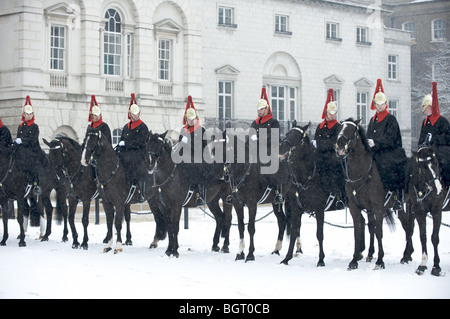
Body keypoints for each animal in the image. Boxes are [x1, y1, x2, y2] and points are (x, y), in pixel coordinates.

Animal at [81, 126, 165, 254]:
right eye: (85, 140)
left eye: (93, 141)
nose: (83, 160)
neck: (111, 171)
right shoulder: (106, 203)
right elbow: (109, 222)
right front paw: (108, 244)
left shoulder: (119, 203)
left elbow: (117, 223)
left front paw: (118, 245)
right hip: (153, 201)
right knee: (158, 218)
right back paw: (155, 241)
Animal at [147, 130, 232, 258]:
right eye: (148, 145)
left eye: (159, 146)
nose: (150, 164)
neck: (169, 175)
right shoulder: (164, 207)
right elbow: (169, 227)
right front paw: (169, 250)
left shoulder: (176, 206)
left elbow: (175, 227)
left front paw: (175, 251)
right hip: (212, 200)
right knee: (220, 217)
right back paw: (215, 245)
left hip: (227, 197)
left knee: (228, 218)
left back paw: (225, 246)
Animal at [278, 122, 344, 268]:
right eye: (287, 133)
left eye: (297, 136)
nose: (281, 148)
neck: (306, 178)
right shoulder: (296, 209)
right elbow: (294, 232)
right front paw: (287, 258)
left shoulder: (319, 210)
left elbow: (319, 234)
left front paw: (321, 260)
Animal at [336, 119, 414, 272]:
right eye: (340, 128)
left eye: (351, 130)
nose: (339, 143)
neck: (361, 173)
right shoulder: (355, 208)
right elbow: (358, 231)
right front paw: (354, 260)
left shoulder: (378, 208)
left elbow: (379, 232)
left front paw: (380, 260)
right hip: (399, 207)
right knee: (407, 226)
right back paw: (406, 255)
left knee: (410, 227)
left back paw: (407, 255)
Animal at [408, 144, 446, 276]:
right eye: (423, 168)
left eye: (437, 163)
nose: (439, 189)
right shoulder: (419, 213)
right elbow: (422, 237)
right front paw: (423, 264)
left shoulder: (436, 212)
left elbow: (434, 237)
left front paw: (436, 266)